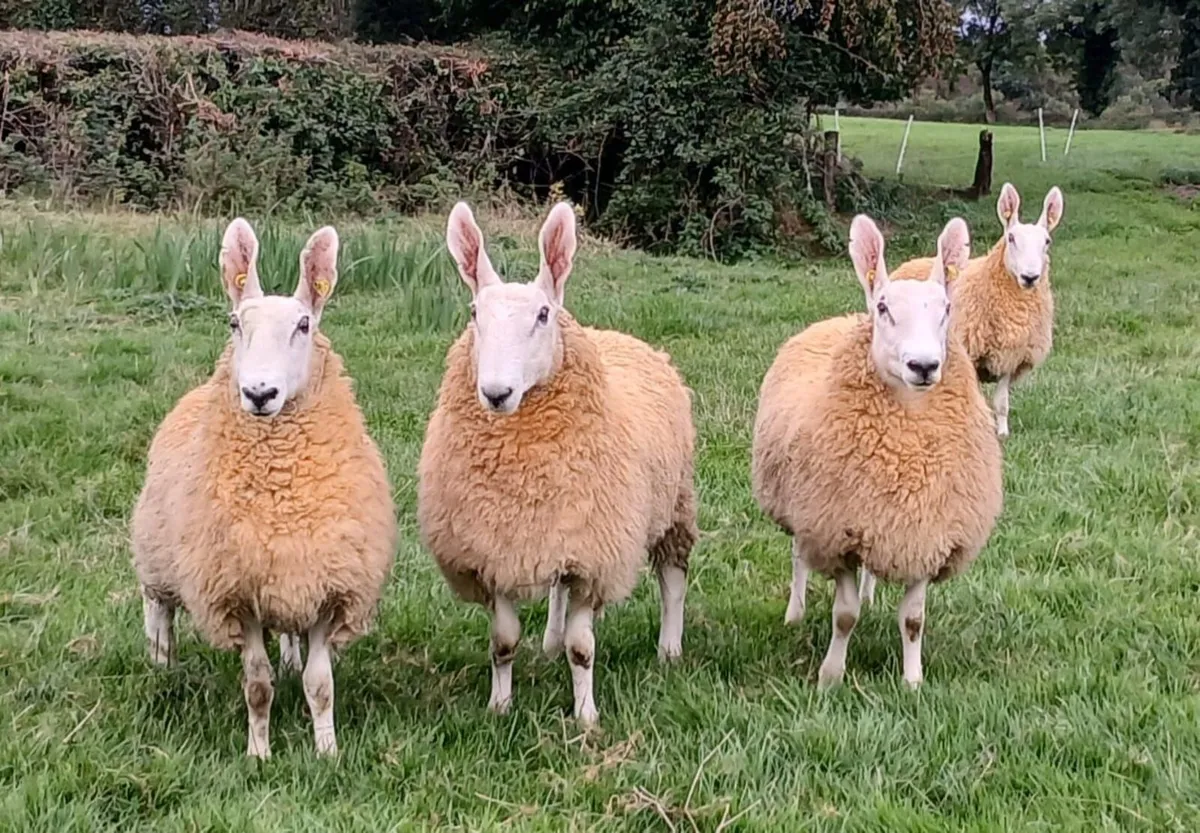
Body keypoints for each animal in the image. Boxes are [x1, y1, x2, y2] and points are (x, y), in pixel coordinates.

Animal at [131, 219, 397, 758]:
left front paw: (327, 751)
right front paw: (259, 753)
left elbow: (320, 684)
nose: (258, 393)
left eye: (304, 325)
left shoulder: (326, 587)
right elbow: (256, 684)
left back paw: (289, 659)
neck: (280, 494)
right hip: (157, 551)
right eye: (234, 324)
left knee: (289, 639)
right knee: (158, 610)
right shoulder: (237, 594)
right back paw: (161, 665)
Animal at [417, 201, 698, 727]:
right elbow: (503, 642)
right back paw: (548, 642)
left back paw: (670, 650)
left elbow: (583, 647)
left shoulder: (595, 557)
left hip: (674, 503)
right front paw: (500, 706)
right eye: (474, 313)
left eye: (543, 315)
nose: (496, 393)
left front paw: (587, 716)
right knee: (556, 593)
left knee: (673, 578)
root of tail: (617, 335)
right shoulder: (496, 551)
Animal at [752, 215, 1002, 689]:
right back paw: (795, 613)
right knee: (798, 559)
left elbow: (913, 620)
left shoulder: (925, 534)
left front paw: (912, 681)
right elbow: (844, 616)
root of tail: (846, 317)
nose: (923, 366)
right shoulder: (838, 533)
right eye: (885, 308)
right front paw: (830, 676)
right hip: (804, 510)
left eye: (947, 309)